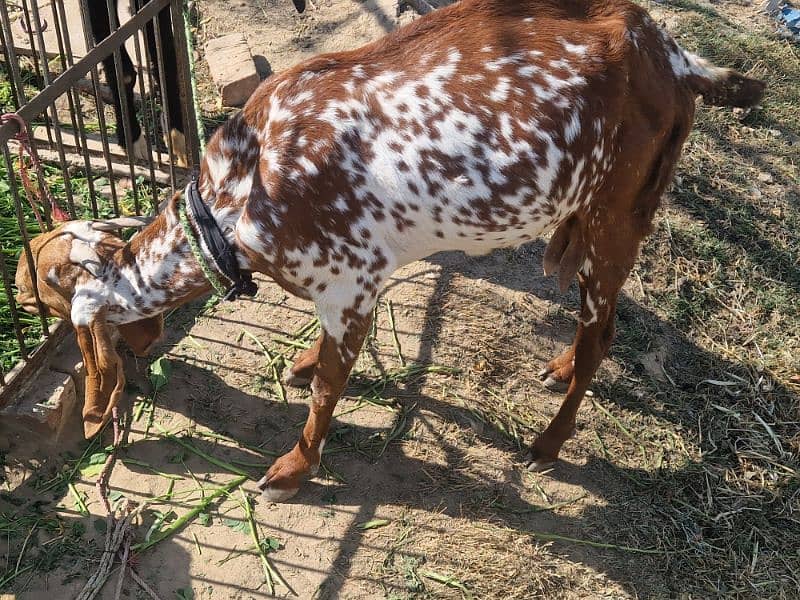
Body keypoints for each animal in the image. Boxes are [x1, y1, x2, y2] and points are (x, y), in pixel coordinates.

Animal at [18, 0, 764, 502]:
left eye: (32, 284)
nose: (18, 298)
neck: (236, 202)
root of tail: (672, 54)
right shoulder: (349, 286)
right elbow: (322, 360)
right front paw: (302, 364)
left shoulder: (352, 281)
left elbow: (329, 390)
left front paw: (293, 469)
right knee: (589, 328)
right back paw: (557, 366)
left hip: (617, 214)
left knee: (604, 330)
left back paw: (549, 442)